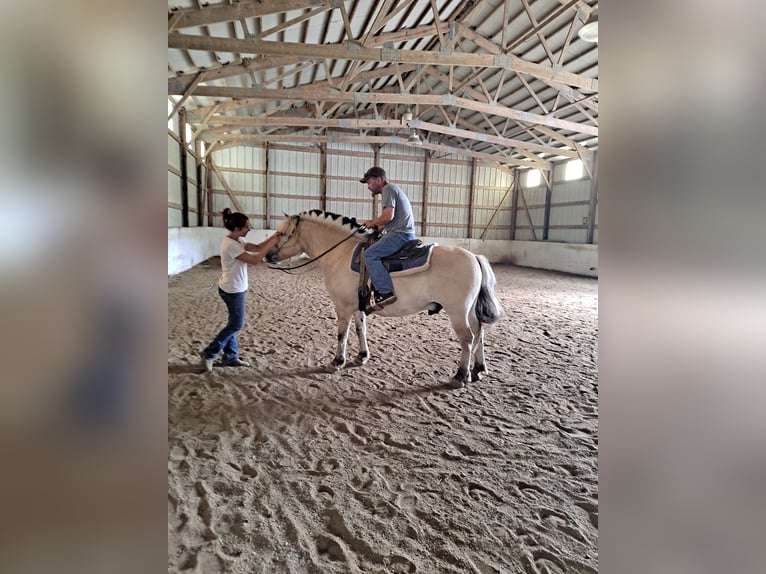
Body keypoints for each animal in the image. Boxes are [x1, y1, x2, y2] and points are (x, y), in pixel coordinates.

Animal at [268, 212, 508, 392]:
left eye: (282, 233)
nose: (269, 256)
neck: (341, 253)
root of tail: (474, 256)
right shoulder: (357, 307)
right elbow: (361, 330)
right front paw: (361, 357)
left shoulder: (343, 306)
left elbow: (342, 335)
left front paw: (337, 362)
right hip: (470, 311)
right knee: (479, 333)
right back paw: (478, 370)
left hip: (457, 312)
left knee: (467, 338)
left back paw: (460, 375)